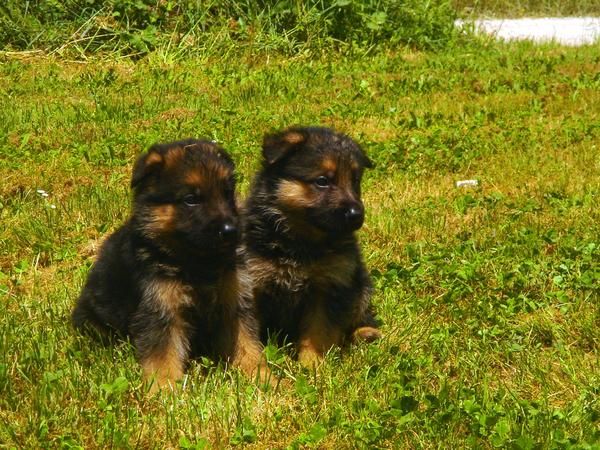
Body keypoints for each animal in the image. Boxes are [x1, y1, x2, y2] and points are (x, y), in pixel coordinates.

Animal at [72, 139, 264, 388]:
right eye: (191, 199)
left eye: (227, 193)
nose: (231, 231)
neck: (198, 262)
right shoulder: (161, 310)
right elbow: (162, 355)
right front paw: (164, 388)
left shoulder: (234, 301)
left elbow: (246, 344)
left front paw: (262, 376)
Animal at [241, 125, 382, 366]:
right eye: (322, 181)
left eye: (355, 181)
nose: (357, 215)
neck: (299, 242)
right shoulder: (252, 283)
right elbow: (247, 335)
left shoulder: (330, 286)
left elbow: (319, 331)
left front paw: (312, 365)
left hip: (360, 286)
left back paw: (365, 333)